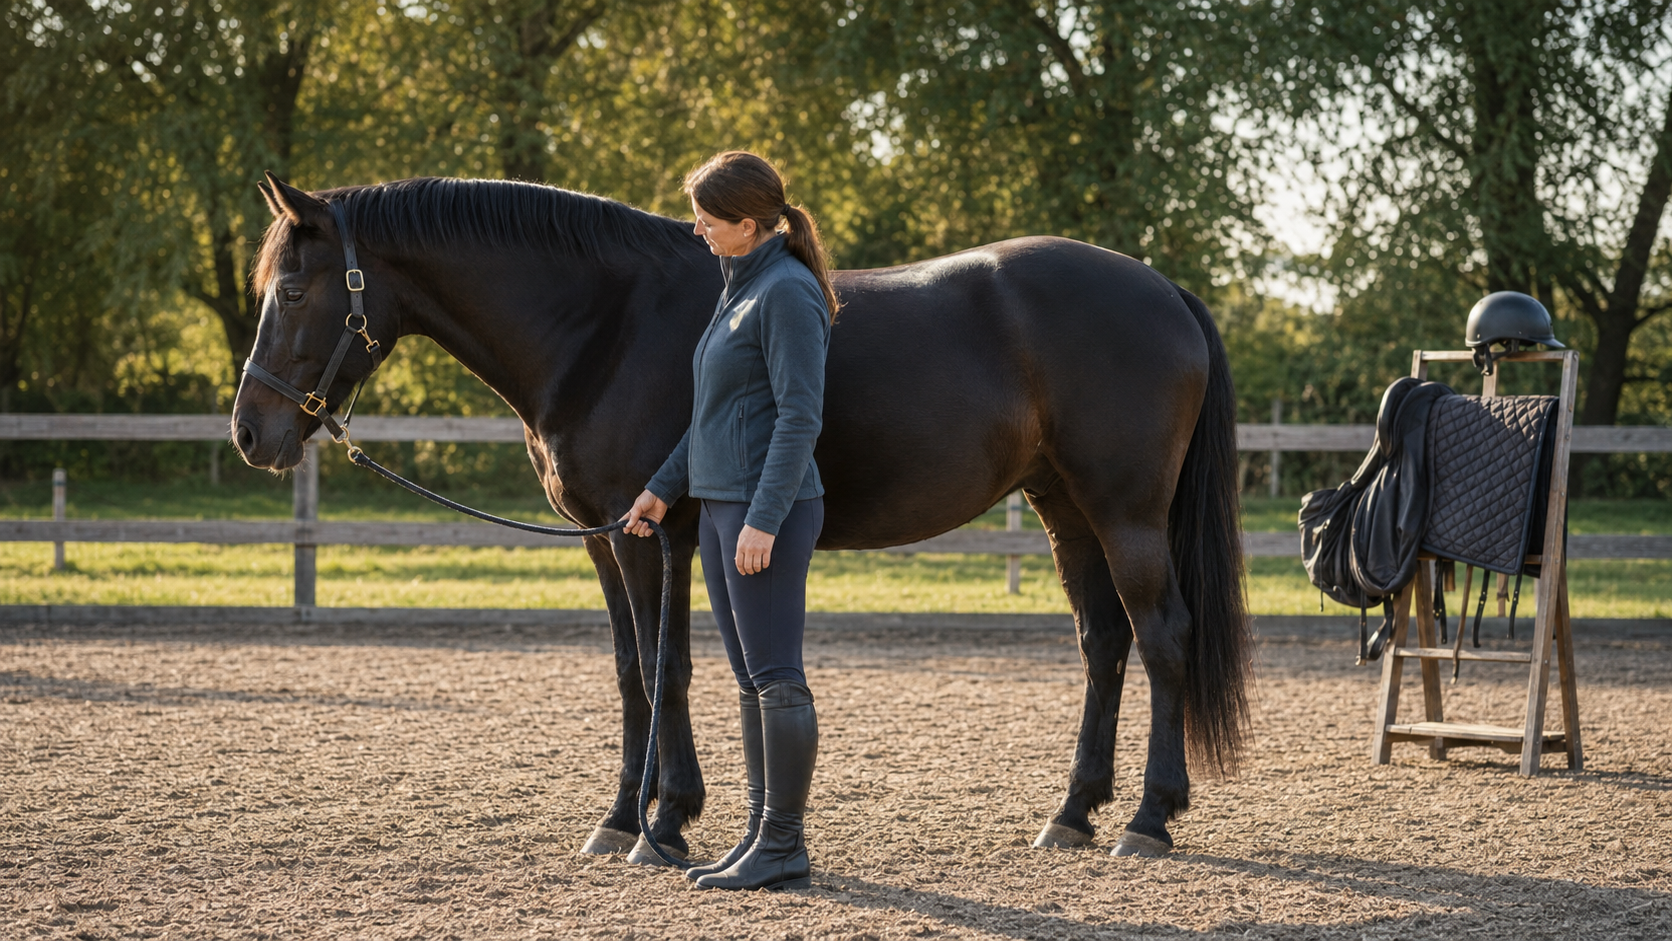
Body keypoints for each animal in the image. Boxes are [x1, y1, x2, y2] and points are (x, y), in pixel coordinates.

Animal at [232, 173, 1252, 861]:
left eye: (293, 289)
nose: (251, 431)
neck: (604, 323)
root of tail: (1164, 289)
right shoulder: (610, 539)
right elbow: (632, 670)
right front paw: (625, 819)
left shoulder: (649, 535)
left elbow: (664, 668)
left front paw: (662, 821)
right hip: (1064, 508)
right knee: (1103, 643)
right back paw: (1072, 813)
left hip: (1125, 511)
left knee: (1160, 637)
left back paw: (1148, 818)